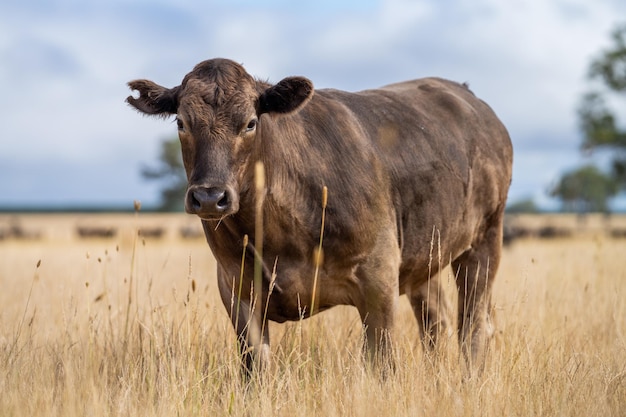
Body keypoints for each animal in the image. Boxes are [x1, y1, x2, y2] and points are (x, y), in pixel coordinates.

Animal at [127, 57, 512, 374]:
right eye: (181, 122)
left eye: (250, 123)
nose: (210, 197)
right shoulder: (237, 290)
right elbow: (255, 370)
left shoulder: (378, 281)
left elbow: (382, 365)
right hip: (425, 254)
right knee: (436, 321)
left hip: (484, 240)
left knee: (473, 326)